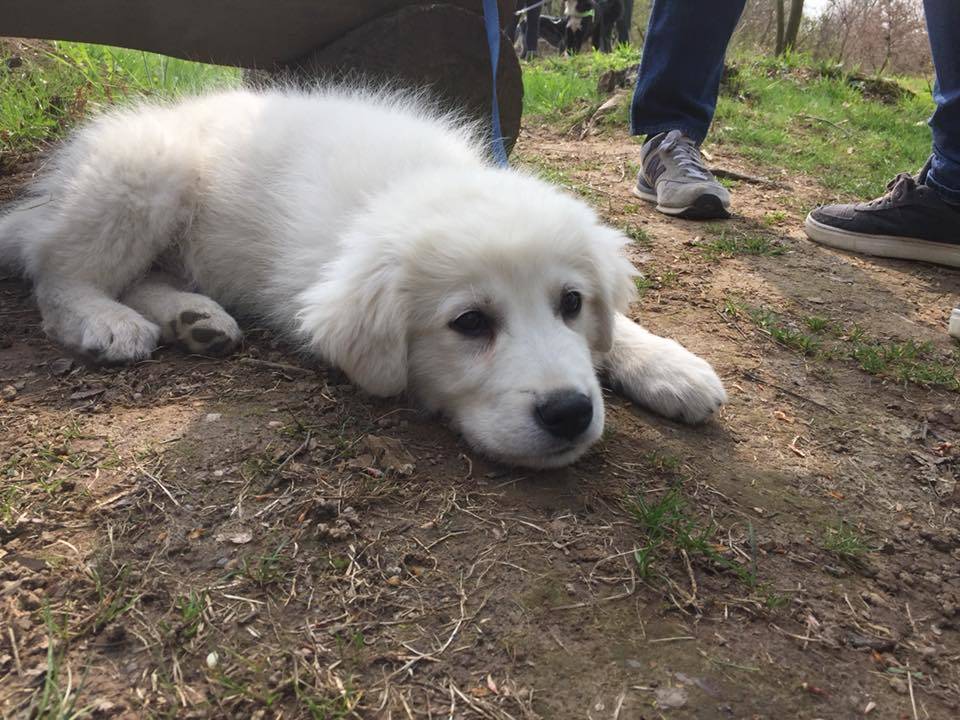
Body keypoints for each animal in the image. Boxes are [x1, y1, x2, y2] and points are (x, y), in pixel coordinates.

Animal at [0, 86, 724, 466]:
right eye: (469, 323)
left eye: (571, 302)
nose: (571, 412)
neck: (411, 184)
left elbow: (616, 327)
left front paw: (671, 366)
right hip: (148, 171)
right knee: (56, 270)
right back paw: (106, 321)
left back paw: (193, 318)